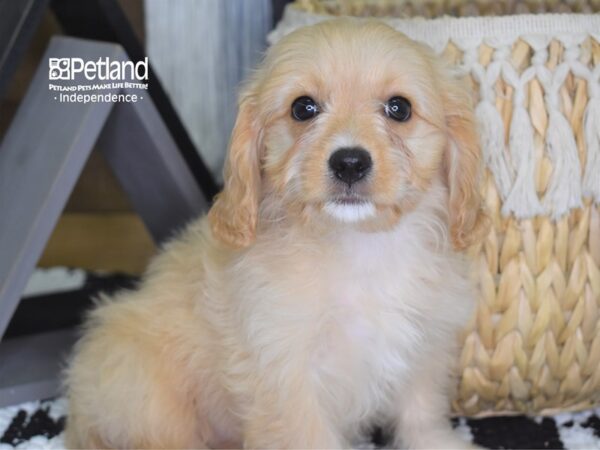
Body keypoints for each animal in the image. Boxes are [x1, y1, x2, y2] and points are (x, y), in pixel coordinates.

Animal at [64, 18, 488, 450]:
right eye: (303, 108)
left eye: (399, 108)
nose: (350, 163)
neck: (359, 244)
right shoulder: (287, 375)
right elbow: (308, 435)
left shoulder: (425, 346)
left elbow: (421, 411)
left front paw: (439, 443)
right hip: (146, 391)